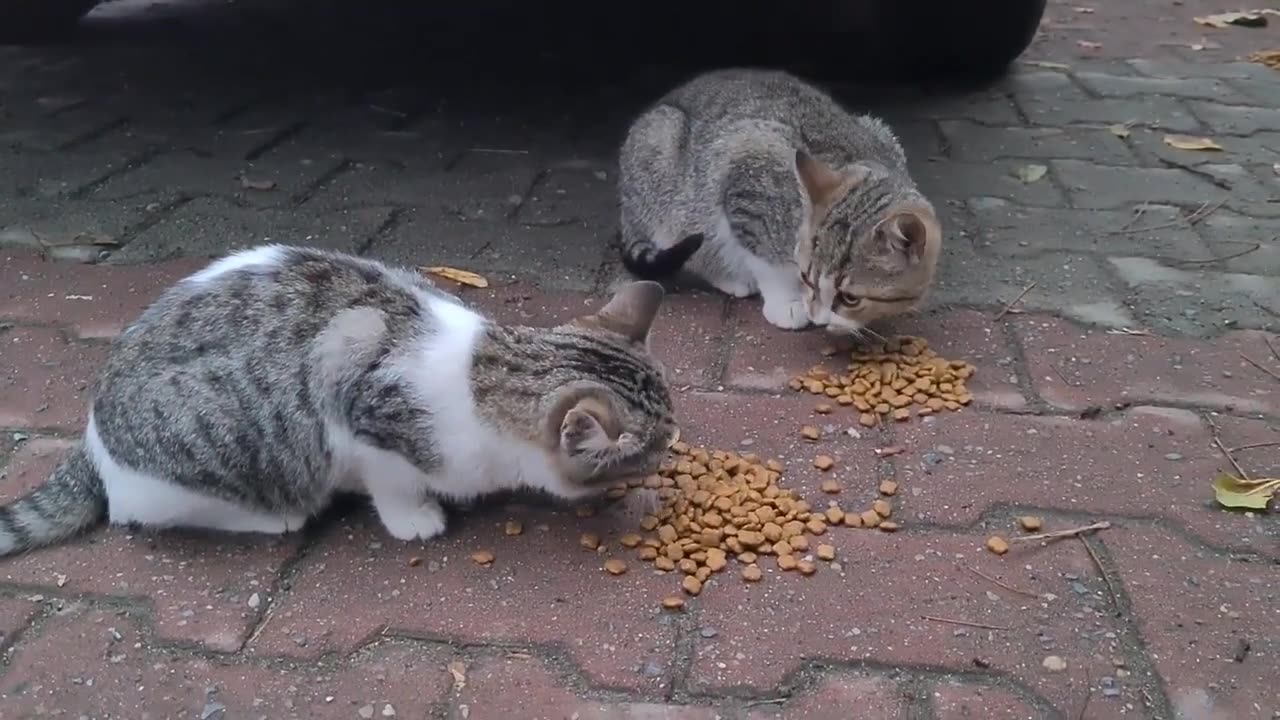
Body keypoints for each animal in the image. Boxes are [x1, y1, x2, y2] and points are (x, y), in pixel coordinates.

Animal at [0, 243, 680, 550]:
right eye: (654, 450)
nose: (669, 459)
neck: (483, 368)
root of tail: (92, 438)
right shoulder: (361, 405)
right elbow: (392, 482)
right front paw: (414, 518)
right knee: (140, 510)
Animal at [616, 67, 942, 330]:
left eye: (850, 298)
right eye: (808, 277)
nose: (818, 318)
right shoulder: (746, 177)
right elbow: (765, 260)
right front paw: (786, 302)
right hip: (662, 154)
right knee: (687, 239)